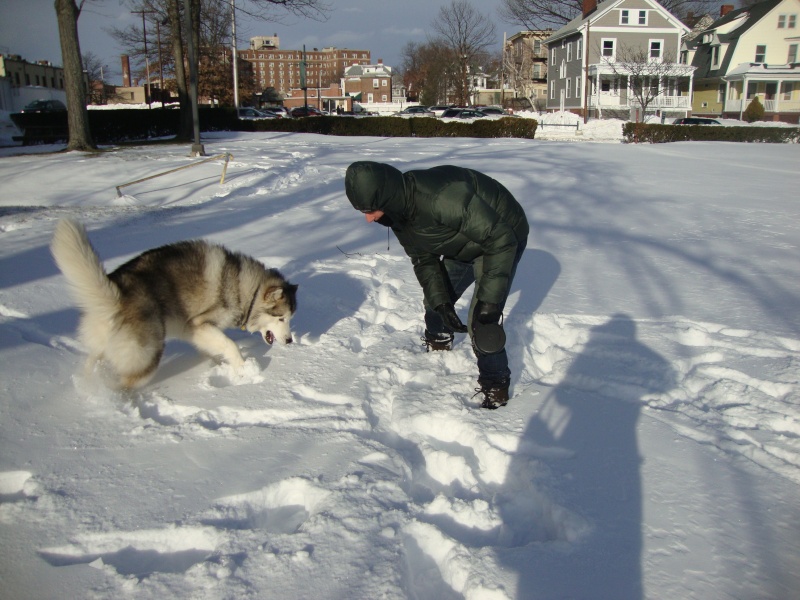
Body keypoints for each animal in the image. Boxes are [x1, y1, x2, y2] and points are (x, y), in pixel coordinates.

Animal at [51, 219, 298, 390]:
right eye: (281, 318)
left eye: (290, 319)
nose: (289, 341)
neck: (245, 289)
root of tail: (116, 289)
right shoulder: (199, 323)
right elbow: (230, 345)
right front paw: (243, 370)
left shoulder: (192, 330)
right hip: (148, 355)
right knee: (124, 383)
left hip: (104, 346)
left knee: (91, 362)